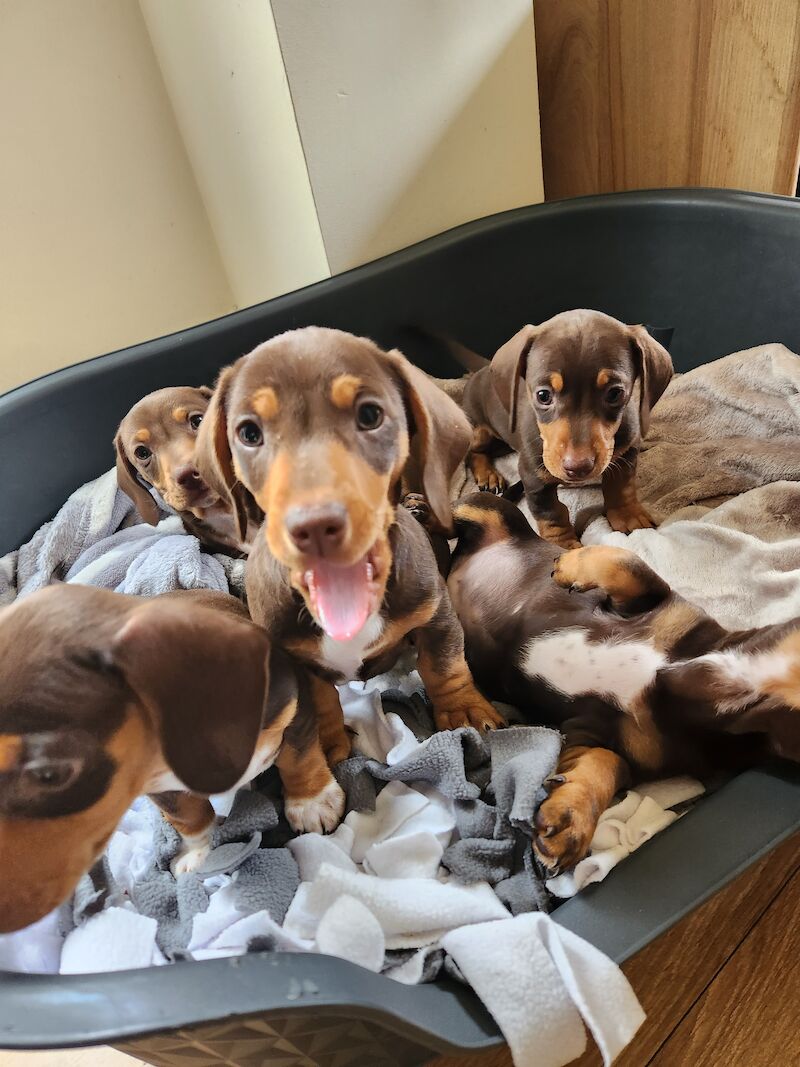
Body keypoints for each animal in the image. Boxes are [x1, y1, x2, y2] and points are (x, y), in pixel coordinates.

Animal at [0, 584, 341, 934]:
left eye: (49, 774)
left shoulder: (294, 705)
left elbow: (298, 758)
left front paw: (311, 803)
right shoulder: (160, 787)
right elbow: (190, 815)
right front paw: (197, 853)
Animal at [196, 324, 503, 759]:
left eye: (370, 414)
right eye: (249, 433)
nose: (314, 526)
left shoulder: (436, 613)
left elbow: (445, 665)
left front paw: (463, 710)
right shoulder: (292, 658)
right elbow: (320, 696)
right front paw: (325, 739)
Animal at [448, 490, 800, 874]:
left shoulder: (601, 736)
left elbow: (603, 764)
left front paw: (569, 818)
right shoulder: (654, 599)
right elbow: (626, 562)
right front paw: (568, 562)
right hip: (485, 509)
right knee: (453, 517)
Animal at [460, 307, 674, 542]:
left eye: (615, 393)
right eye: (543, 395)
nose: (578, 468)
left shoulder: (627, 452)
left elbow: (621, 487)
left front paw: (628, 516)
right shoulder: (534, 476)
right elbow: (552, 514)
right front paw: (564, 544)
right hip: (477, 430)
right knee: (473, 452)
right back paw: (487, 474)